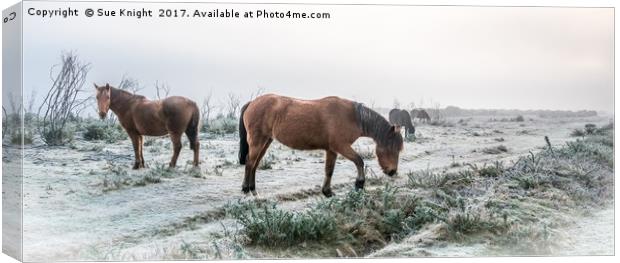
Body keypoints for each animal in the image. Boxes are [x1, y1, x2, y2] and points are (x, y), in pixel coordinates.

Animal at [237, 94, 402, 197]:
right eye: (391, 148)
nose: (392, 171)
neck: (352, 117)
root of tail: (252, 103)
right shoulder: (341, 146)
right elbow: (359, 161)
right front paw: (359, 184)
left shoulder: (332, 150)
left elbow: (329, 170)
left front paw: (327, 192)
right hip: (258, 141)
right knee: (250, 162)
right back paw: (246, 189)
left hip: (266, 141)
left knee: (255, 164)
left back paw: (253, 189)